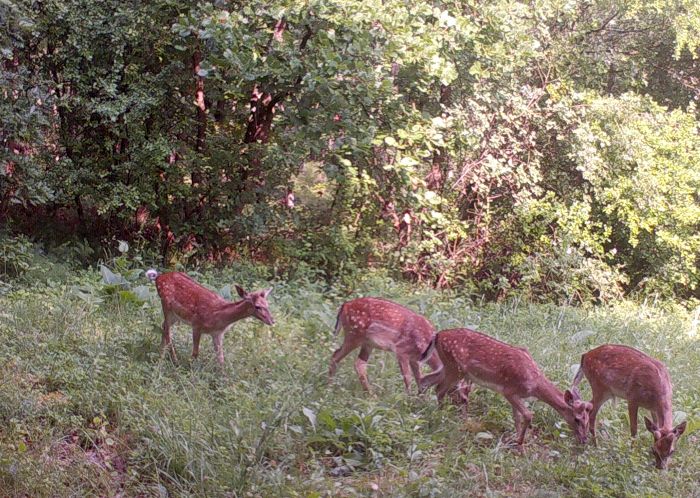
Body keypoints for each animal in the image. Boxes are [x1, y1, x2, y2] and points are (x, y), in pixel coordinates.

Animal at [146, 270, 274, 364]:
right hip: (166, 305)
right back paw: (174, 360)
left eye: (267, 304)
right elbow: (195, 353)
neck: (218, 318)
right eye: (257, 306)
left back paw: (160, 356)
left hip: (175, 315)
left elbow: (221, 359)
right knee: (167, 331)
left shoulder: (217, 334)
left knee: (164, 326)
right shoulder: (196, 324)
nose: (272, 321)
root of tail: (158, 277)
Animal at [328, 298, 470, 402]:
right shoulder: (402, 351)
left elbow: (419, 378)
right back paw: (329, 386)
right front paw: (408, 400)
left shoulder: (414, 359)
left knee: (359, 364)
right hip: (354, 334)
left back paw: (370, 395)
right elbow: (408, 378)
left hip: (367, 343)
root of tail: (344, 306)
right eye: (456, 387)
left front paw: (421, 400)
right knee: (336, 355)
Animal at [418, 328, 592, 446]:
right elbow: (528, 415)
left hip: (449, 366)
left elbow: (517, 418)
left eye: (588, 419)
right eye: (577, 419)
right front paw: (519, 444)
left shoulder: (516, 395)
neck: (534, 384)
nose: (584, 440)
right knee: (439, 389)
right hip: (456, 367)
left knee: (426, 380)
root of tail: (437, 335)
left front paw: (517, 440)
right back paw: (441, 417)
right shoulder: (509, 391)